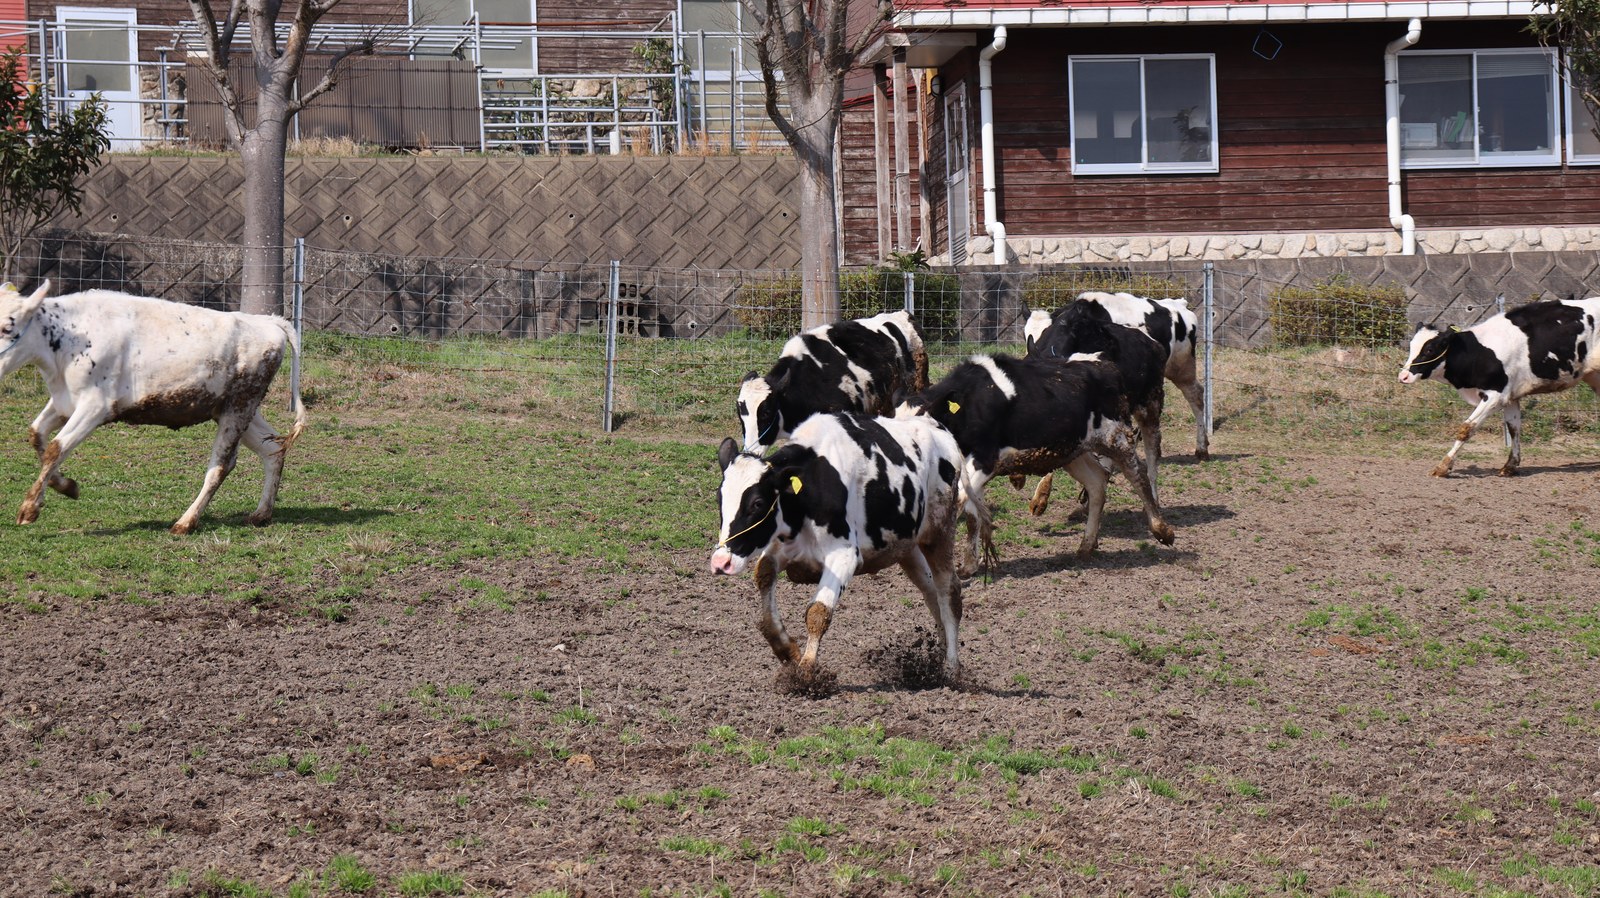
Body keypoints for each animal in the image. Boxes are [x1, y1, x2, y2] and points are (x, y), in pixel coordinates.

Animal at [0, 281, 307, 534]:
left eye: (7, 328)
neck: (71, 339)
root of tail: (268, 321)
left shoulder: (95, 406)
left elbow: (55, 448)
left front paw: (29, 509)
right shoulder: (64, 402)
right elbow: (36, 435)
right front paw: (66, 487)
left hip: (239, 408)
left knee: (221, 466)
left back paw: (185, 522)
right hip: (237, 410)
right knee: (273, 450)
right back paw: (261, 514)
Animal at [711, 410, 966, 682]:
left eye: (757, 503)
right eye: (720, 499)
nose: (721, 562)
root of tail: (938, 429)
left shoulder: (844, 556)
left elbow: (818, 612)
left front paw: (805, 673)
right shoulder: (785, 548)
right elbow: (765, 575)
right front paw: (787, 650)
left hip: (940, 533)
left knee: (948, 590)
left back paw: (951, 667)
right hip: (907, 548)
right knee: (930, 592)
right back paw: (939, 656)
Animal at [912, 353, 1176, 570]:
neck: (971, 402)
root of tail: (1107, 366)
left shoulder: (984, 461)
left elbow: (959, 505)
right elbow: (972, 513)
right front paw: (969, 566)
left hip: (1116, 438)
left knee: (1138, 474)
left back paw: (1162, 530)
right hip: (1072, 450)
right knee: (1097, 482)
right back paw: (1086, 546)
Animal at [1399, 297, 1600, 477]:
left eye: (1430, 350)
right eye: (1411, 346)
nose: (1403, 376)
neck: (1478, 351)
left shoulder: (1495, 395)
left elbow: (1467, 428)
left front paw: (1443, 467)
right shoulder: (1510, 397)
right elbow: (1513, 428)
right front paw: (1510, 466)